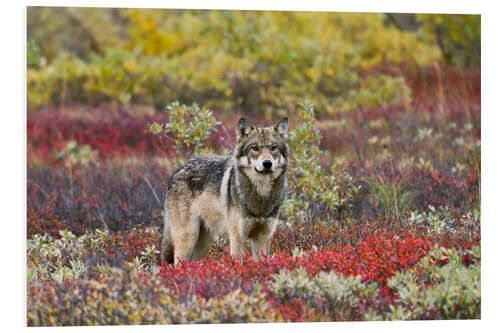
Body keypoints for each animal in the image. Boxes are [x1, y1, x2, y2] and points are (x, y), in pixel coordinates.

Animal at [160, 115, 290, 264]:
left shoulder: (263, 238)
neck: (261, 194)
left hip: (202, 245)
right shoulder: (237, 238)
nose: (267, 163)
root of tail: (176, 171)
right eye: (255, 148)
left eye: (273, 147)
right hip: (187, 238)